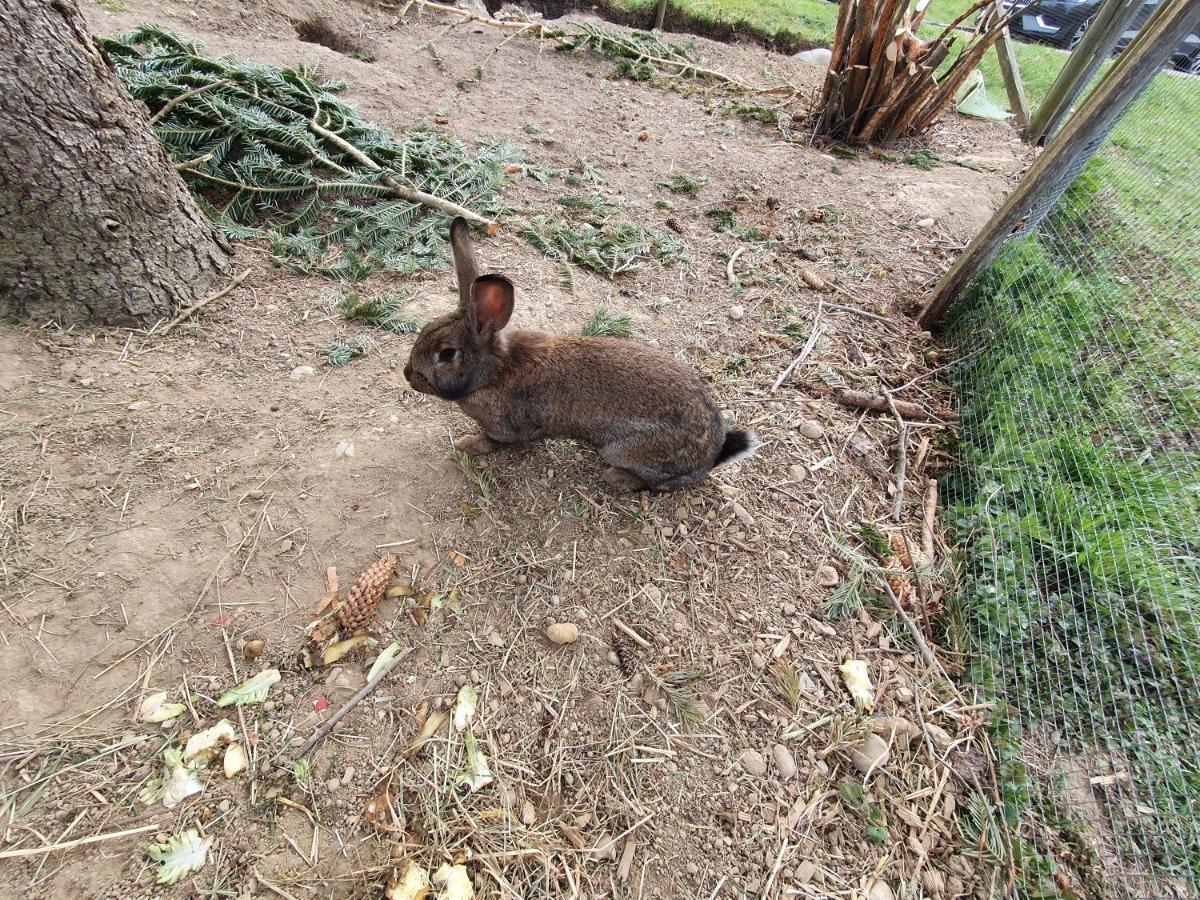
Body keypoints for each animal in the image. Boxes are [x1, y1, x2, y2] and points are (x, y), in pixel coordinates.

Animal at [405, 219, 758, 494]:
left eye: (446, 353)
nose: (409, 376)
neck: (493, 373)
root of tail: (712, 455)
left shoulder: (507, 427)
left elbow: (495, 441)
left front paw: (467, 444)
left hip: (625, 451)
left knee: (658, 483)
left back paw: (617, 478)